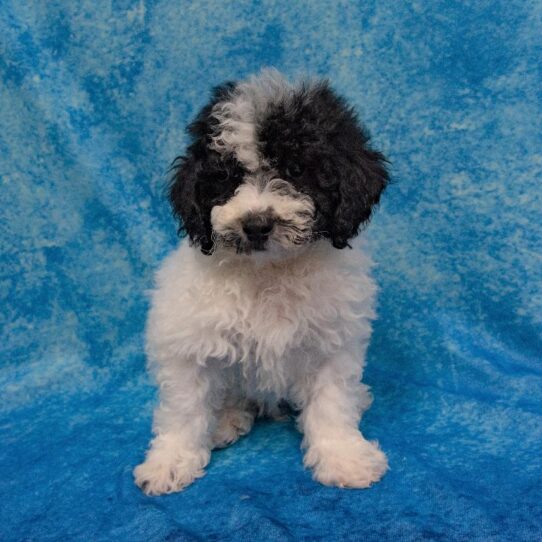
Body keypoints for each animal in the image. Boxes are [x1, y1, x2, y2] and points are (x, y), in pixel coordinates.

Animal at [136, 69, 392, 498]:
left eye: (295, 170)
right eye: (227, 177)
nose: (256, 224)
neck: (268, 270)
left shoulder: (332, 342)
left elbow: (332, 402)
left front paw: (343, 457)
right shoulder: (188, 341)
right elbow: (185, 407)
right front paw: (169, 462)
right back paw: (223, 421)